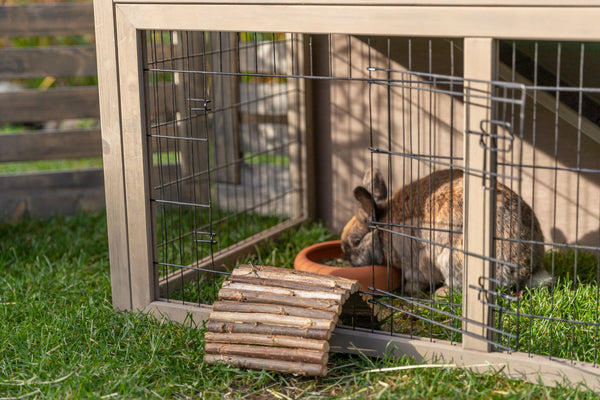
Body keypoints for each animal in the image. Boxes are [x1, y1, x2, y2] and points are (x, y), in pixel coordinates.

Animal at [340, 169, 552, 294]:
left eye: (356, 242)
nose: (351, 263)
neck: (384, 228)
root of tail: (526, 267)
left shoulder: (415, 264)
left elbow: (418, 280)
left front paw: (408, 290)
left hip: (450, 259)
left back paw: (440, 294)